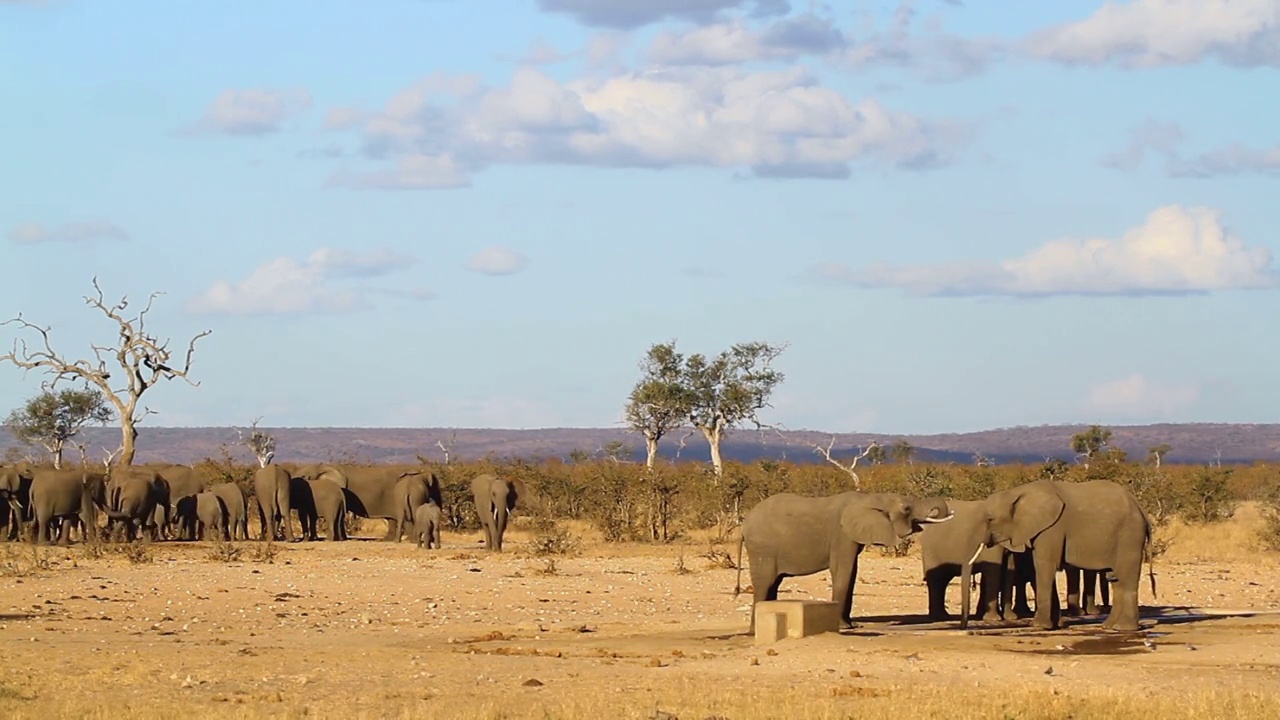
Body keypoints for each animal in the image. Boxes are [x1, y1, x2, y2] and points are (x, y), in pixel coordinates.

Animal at [737, 486, 957, 627]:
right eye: (906, 508)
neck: (870, 498)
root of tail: (744, 525)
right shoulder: (841, 534)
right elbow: (843, 570)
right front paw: (845, 627)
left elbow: (852, 573)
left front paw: (851, 626)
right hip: (762, 549)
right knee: (765, 583)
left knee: (773, 584)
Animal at [962, 479, 1157, 630]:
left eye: (989, 519)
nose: (966, 627)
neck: (1017, 492)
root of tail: (1141, 509)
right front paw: (1056, 625)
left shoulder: (1051, 528)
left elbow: (1044, 566)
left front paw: (1039, 626)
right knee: (1116, 579)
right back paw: (1109, 627)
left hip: (1129, 535)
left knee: (1127, 578)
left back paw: (1124, 628)